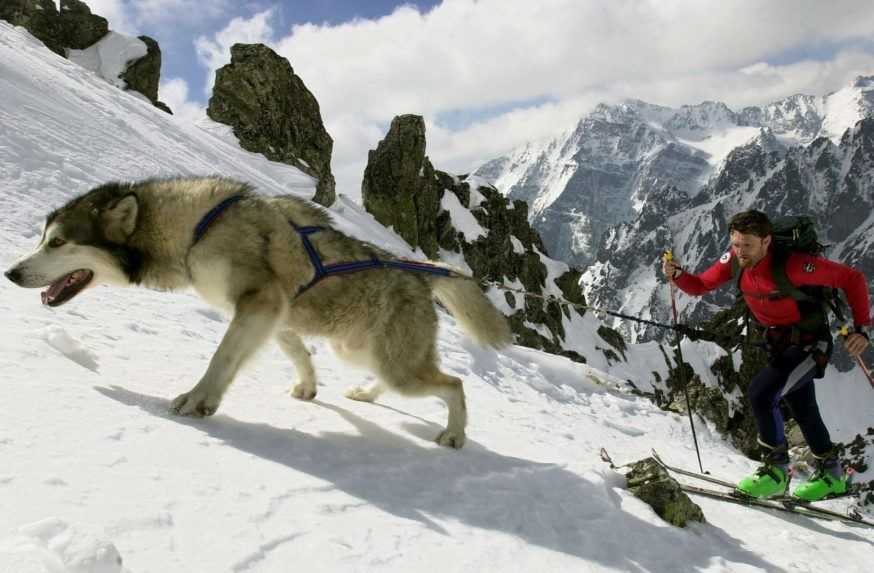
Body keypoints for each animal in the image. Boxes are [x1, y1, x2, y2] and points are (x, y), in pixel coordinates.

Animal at [5, 177, 510, 450]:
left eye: (58, 242)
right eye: (43, 238)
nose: (11, 272)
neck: (197, 229)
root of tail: (422, 274)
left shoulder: (259, 302)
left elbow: (222, 358)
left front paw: (197, 400)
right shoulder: (273, 315)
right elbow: (297, 353)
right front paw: (307, 386)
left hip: (392, 361)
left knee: (454, 385)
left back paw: (454, 435)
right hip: (359, 350)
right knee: (400, 377)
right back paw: (366, 394)